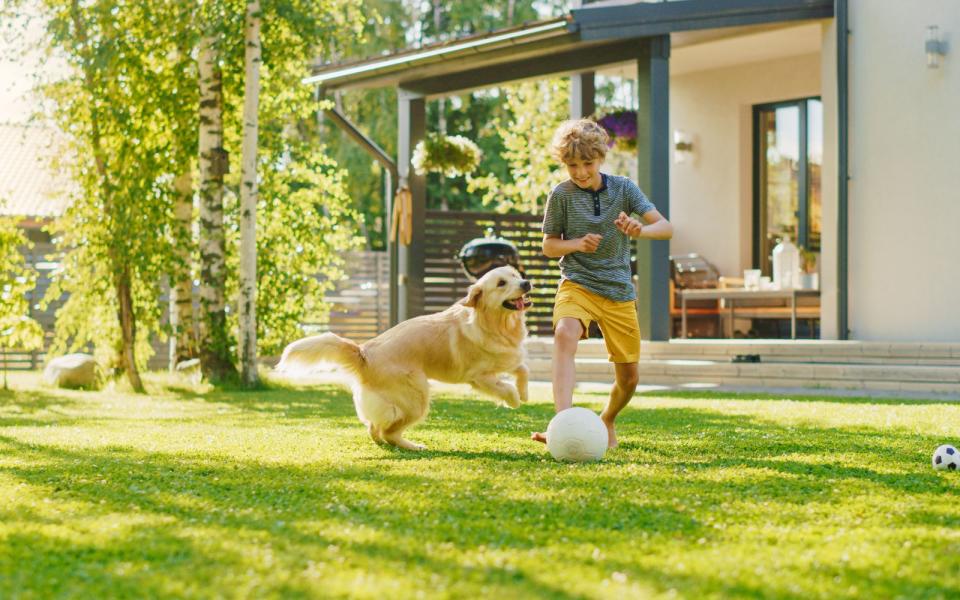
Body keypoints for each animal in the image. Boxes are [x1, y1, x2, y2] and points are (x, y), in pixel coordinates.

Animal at [276, 264, 532, 448]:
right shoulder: (478, 377)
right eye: (501, 283)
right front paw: (514, 400)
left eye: (514, 274)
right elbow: (506, 388)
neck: (497, 325)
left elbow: (523, 368)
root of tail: (363, 352)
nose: (526, 282)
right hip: (418, 397)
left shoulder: (508, 357)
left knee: (374, 428)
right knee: (389, 431)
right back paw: (413, 446)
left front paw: (525, 393)